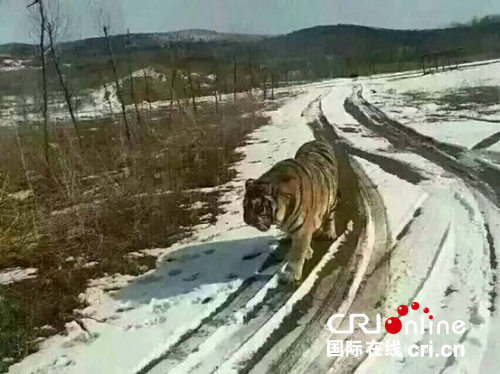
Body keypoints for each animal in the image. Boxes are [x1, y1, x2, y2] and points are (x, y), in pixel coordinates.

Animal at [242, 140, 340, 284]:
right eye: (245, 206)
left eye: (259, 206)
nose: (247, 221)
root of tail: (317, 140)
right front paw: (308, 252)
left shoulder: (302, 228)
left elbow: (297, 252)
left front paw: (291, 274)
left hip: (331, 199)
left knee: (330, 216)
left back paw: (329, 233)